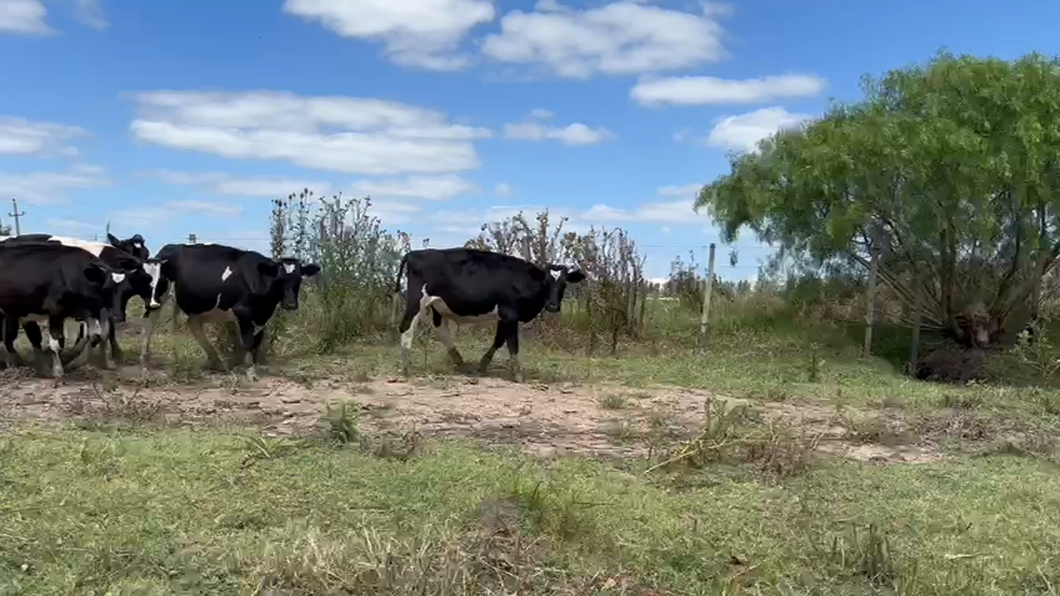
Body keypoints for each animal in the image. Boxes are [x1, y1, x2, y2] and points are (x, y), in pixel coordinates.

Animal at [0, 241, 127, 375]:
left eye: (126, 291)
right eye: (106, 289)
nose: (117, 316)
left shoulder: (84, 311)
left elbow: (94, 335)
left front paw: (72, 360)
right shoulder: (55, 310)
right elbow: (55, 343)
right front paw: (57, 369)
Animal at [143, 242, 320, 377]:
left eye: (298, 279)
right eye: (279, 279)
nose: (290, 304)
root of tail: (169, 247)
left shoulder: (260, 316)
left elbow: (257, 340)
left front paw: (248, 365)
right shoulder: (243, 311)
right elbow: (248, 341)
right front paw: (249, 370)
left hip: (198, 306)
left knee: (194, 325)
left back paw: (217, 362)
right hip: (158, 295)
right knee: (149, 323)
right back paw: (145, 362)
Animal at [394, 247, 585, 379]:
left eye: (564, 283)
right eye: (546, 281)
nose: (553, 305)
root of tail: (414, 253)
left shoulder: (504, 316)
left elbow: (499, 340)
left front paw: (483, 365)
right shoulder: (510, 314)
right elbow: (512, 344)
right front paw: (518, 375)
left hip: (437, 308)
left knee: (441, 331)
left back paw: (461, 364)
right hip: (416, 302)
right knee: (406, 328)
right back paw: (406, 368)